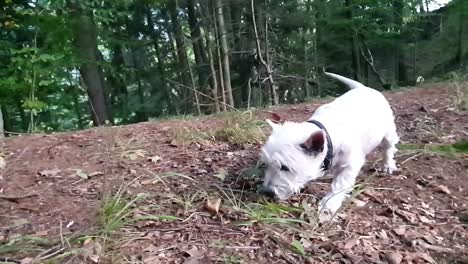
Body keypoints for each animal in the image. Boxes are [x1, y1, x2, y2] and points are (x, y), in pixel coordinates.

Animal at [260, 71, 398, 221]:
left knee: (388, 147)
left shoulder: (350, 165)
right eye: (266, 164)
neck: (329, 135)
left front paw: (327, 208)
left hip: (388, 131)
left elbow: (339, 185)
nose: (267, 192)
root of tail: (365, 88)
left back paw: (388, 165)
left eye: (285, 167)